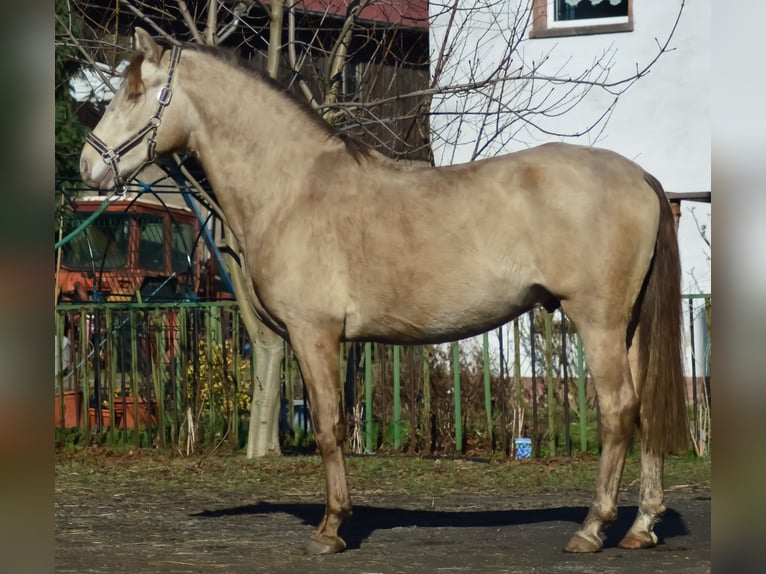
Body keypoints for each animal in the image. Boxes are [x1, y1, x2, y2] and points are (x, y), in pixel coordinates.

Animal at [82, 28, 688, 560]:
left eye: (133, 92)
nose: (88, 165)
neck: (294, 186)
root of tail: (639, 176)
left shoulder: (314, 333)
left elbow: (329, 428)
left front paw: (330, 529)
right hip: (631, 327)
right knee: (646, 411)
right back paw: (641, 527)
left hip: (599, 323)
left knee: (618, 411)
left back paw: (592, 529)